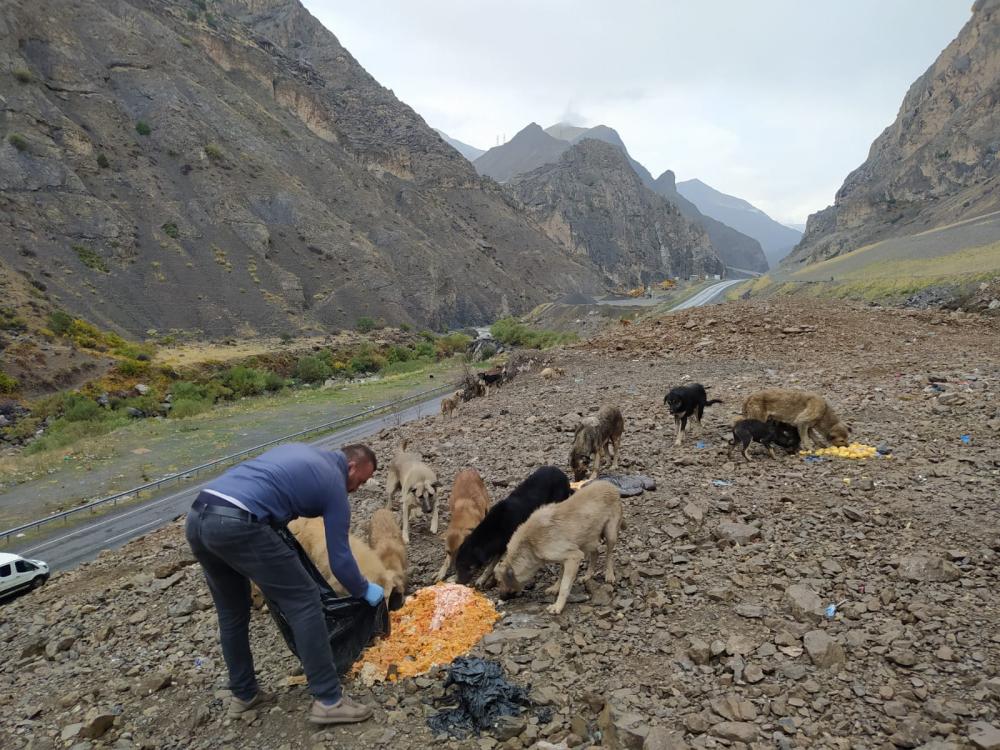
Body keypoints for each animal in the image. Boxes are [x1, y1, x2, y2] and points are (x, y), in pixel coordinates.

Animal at [494, 482, 620, 616]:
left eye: (499, 581)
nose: (500, 597)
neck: (529, 545)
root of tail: (609, 484)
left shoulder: (573, 557)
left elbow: (565, 585)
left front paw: (558, 606)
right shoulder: (565, 558)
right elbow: (560, 575)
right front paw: (555, 588)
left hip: (610, 534)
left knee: (609, 554)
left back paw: (609, 575)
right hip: (587, 538)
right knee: (595, 553)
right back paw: (587, 576)